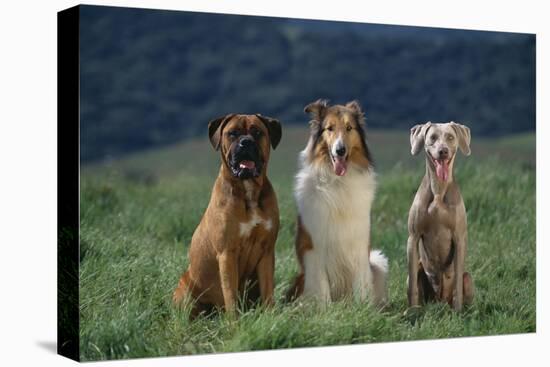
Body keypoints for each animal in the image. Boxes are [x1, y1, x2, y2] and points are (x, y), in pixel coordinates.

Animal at [172, 113, 282, 318]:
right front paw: (235, 322)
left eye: (257, 132)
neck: (248, 191)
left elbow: (268, 291)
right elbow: (230, 294)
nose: (246, 142)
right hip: (186, 288)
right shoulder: (227, 253)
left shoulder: (266, 252)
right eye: (232, 133)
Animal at [288, 98, 388, 308]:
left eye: (349, 128)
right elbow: (322, 288)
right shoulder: (315, 248)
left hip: (378, 262)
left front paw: (361, 309)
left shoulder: (359, 246)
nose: (340, 150)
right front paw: (325, 311)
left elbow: (361, 286)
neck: (338, 183)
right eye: (330, 128)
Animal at [408, 122, 476, 312]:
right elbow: (412, 287)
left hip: (468, 278)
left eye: (450, 137)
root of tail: (440, 302)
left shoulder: (459, 238)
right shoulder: (413, 238)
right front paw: (411, 311)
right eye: (432, 138)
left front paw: (458, 312)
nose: (443, 151)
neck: (438, 189)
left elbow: (458, 284)